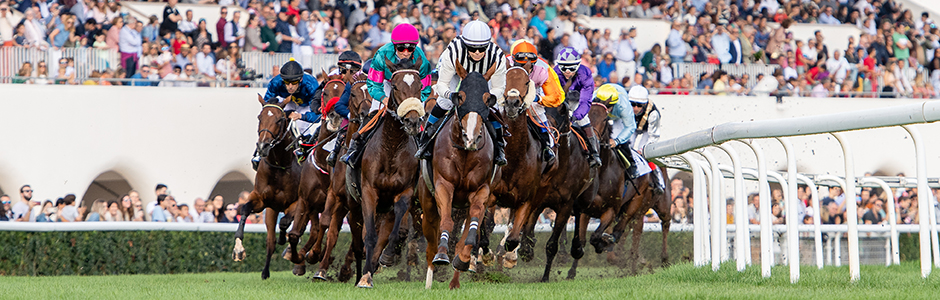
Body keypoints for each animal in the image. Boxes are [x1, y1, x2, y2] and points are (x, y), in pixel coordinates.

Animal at [232, 95, 302, 280]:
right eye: (259, 117)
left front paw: (285, 242)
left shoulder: (298, 203)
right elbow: (244, 209)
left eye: (279, 119)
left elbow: (285, 222)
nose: (262, 146)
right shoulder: (262, 200)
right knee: (270, 241)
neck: (280, 166)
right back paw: (265, 272)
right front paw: (238, 250)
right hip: (271, 210)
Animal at [352, 58, 426, 288]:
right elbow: (370, 236)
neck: (391, 147)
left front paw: (385, 257)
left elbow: (392, 235)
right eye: (395, 86)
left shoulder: (404, 192)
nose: (412, 121)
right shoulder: (369, 191)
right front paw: (364, 277)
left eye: (419, 86)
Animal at [414, 62, 496, 290]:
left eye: (488, 98)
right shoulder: (444, 186)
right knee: (430, 244)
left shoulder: (481, 191)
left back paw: (455, 281)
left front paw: (464, 260)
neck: (465, 152)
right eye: (461, 97)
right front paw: (442, 255)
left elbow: (471, 228)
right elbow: (446, 223)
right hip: (427, 204)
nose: (471, 137)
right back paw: (430, 279)